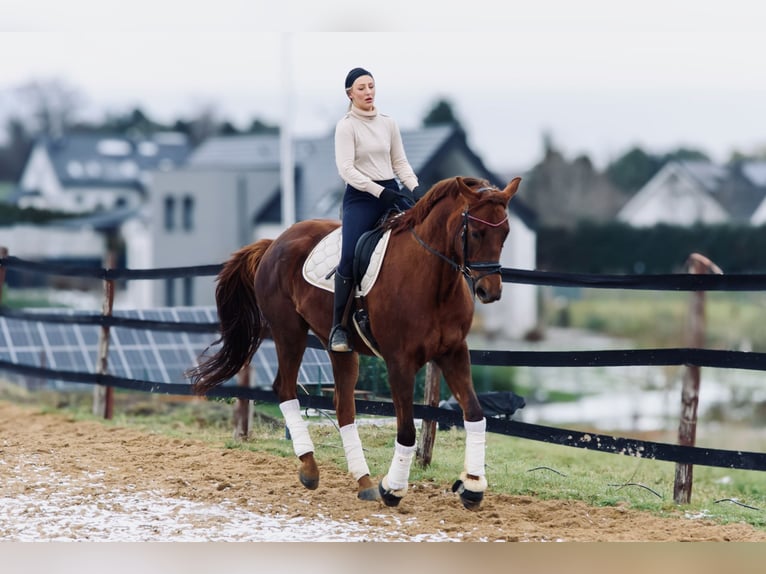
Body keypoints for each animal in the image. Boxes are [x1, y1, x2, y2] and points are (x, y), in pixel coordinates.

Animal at [186, 175, 521, 510]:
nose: (490, 291)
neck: (433, 281)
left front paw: (473, 486)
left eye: (505, 233)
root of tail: (275, 241)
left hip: (338, 347)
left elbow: (475, 414)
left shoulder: (454, 352)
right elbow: (407, 430)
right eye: (475, 232)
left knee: (343, 406)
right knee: (285, 388)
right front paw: (393, 489)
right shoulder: (399, 362)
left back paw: (364, 481)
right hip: (289, 333)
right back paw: (311, 469)